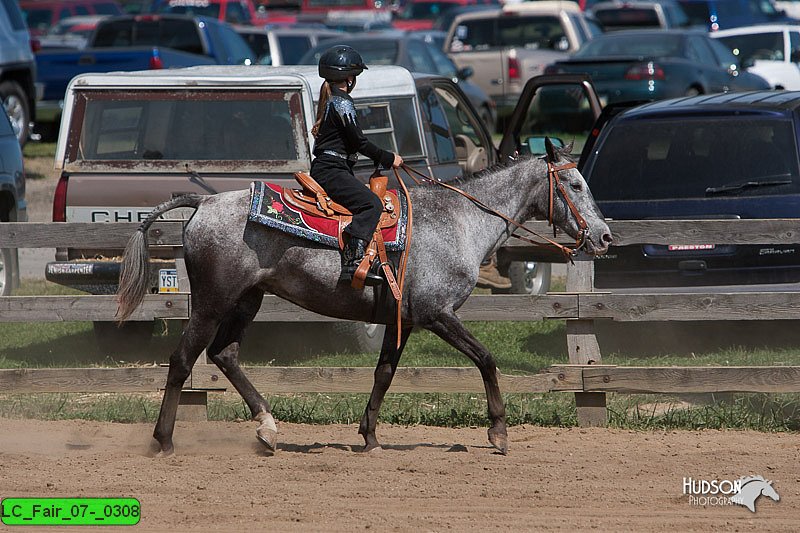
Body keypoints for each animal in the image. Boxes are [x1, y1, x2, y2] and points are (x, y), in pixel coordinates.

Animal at [115, 137, 608, 454]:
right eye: (576, 185)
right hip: (213, 301)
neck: (458, 220)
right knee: (182, 360)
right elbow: (486, 359)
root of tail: (203, 204)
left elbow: (384, 374)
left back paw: (268, 430)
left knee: (225, 354)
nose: (603, 236)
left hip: (247, 299)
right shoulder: (436, 314)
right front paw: (499, 433)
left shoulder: (401, 320)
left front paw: (369, 436)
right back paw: (164, 441)